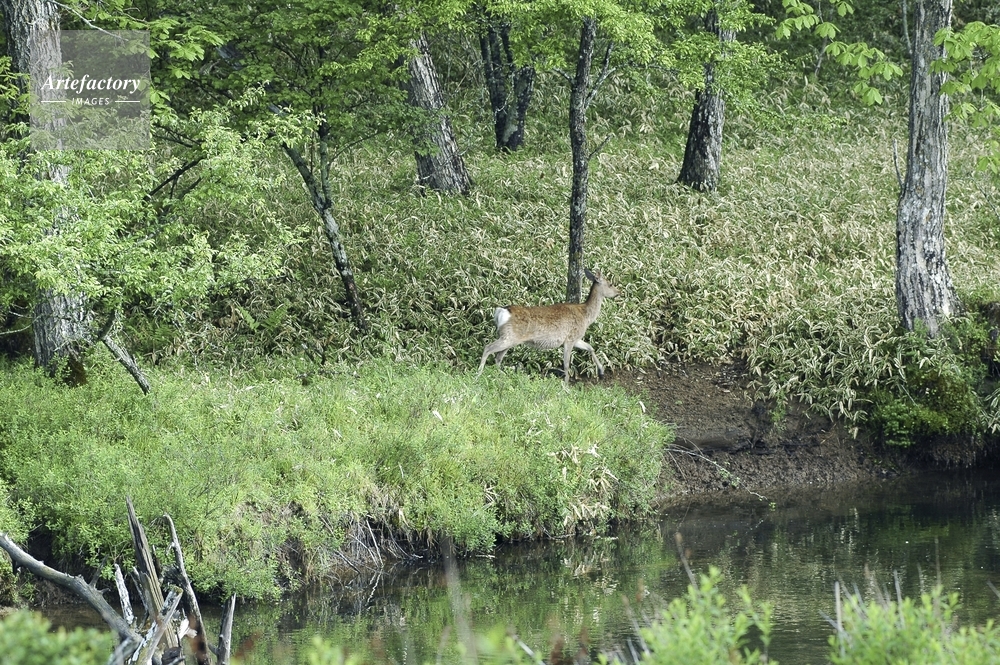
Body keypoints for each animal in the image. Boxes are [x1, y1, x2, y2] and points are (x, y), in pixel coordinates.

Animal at [477, 268, 621, 385]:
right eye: (610, 284)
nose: (618, 292)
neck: (586, 316)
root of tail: (501, 311)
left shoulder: (576, 338)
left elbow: (590, 347)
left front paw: (601, 372)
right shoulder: (570, 338)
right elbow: (567, 365)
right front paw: (566, 387)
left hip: (509, 338)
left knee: (498, 357)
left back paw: (501, 376)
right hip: (509, 336)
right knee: (488, 348)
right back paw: (478, 374)